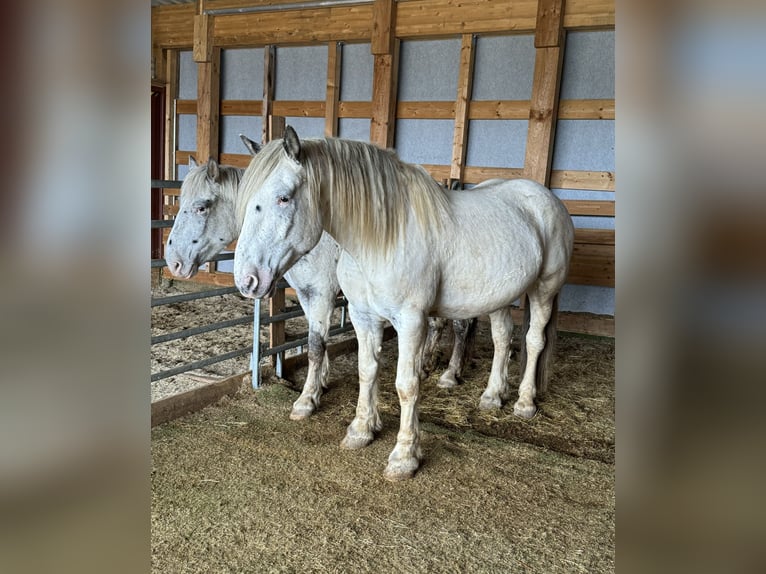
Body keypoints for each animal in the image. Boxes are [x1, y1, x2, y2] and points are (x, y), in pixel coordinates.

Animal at [234, 128, 576, 484]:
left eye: (284, 197)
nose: (247, 280)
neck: (380, 238)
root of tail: (546, 198)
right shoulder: (362, 316)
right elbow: (366, 370)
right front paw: (361, 430)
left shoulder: (412, 322)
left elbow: (406, 385)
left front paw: (404, 457)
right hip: (499, 298)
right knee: (502, 339)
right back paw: (493, 396)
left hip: (544, 290)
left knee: (534, 341)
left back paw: (524, 402)